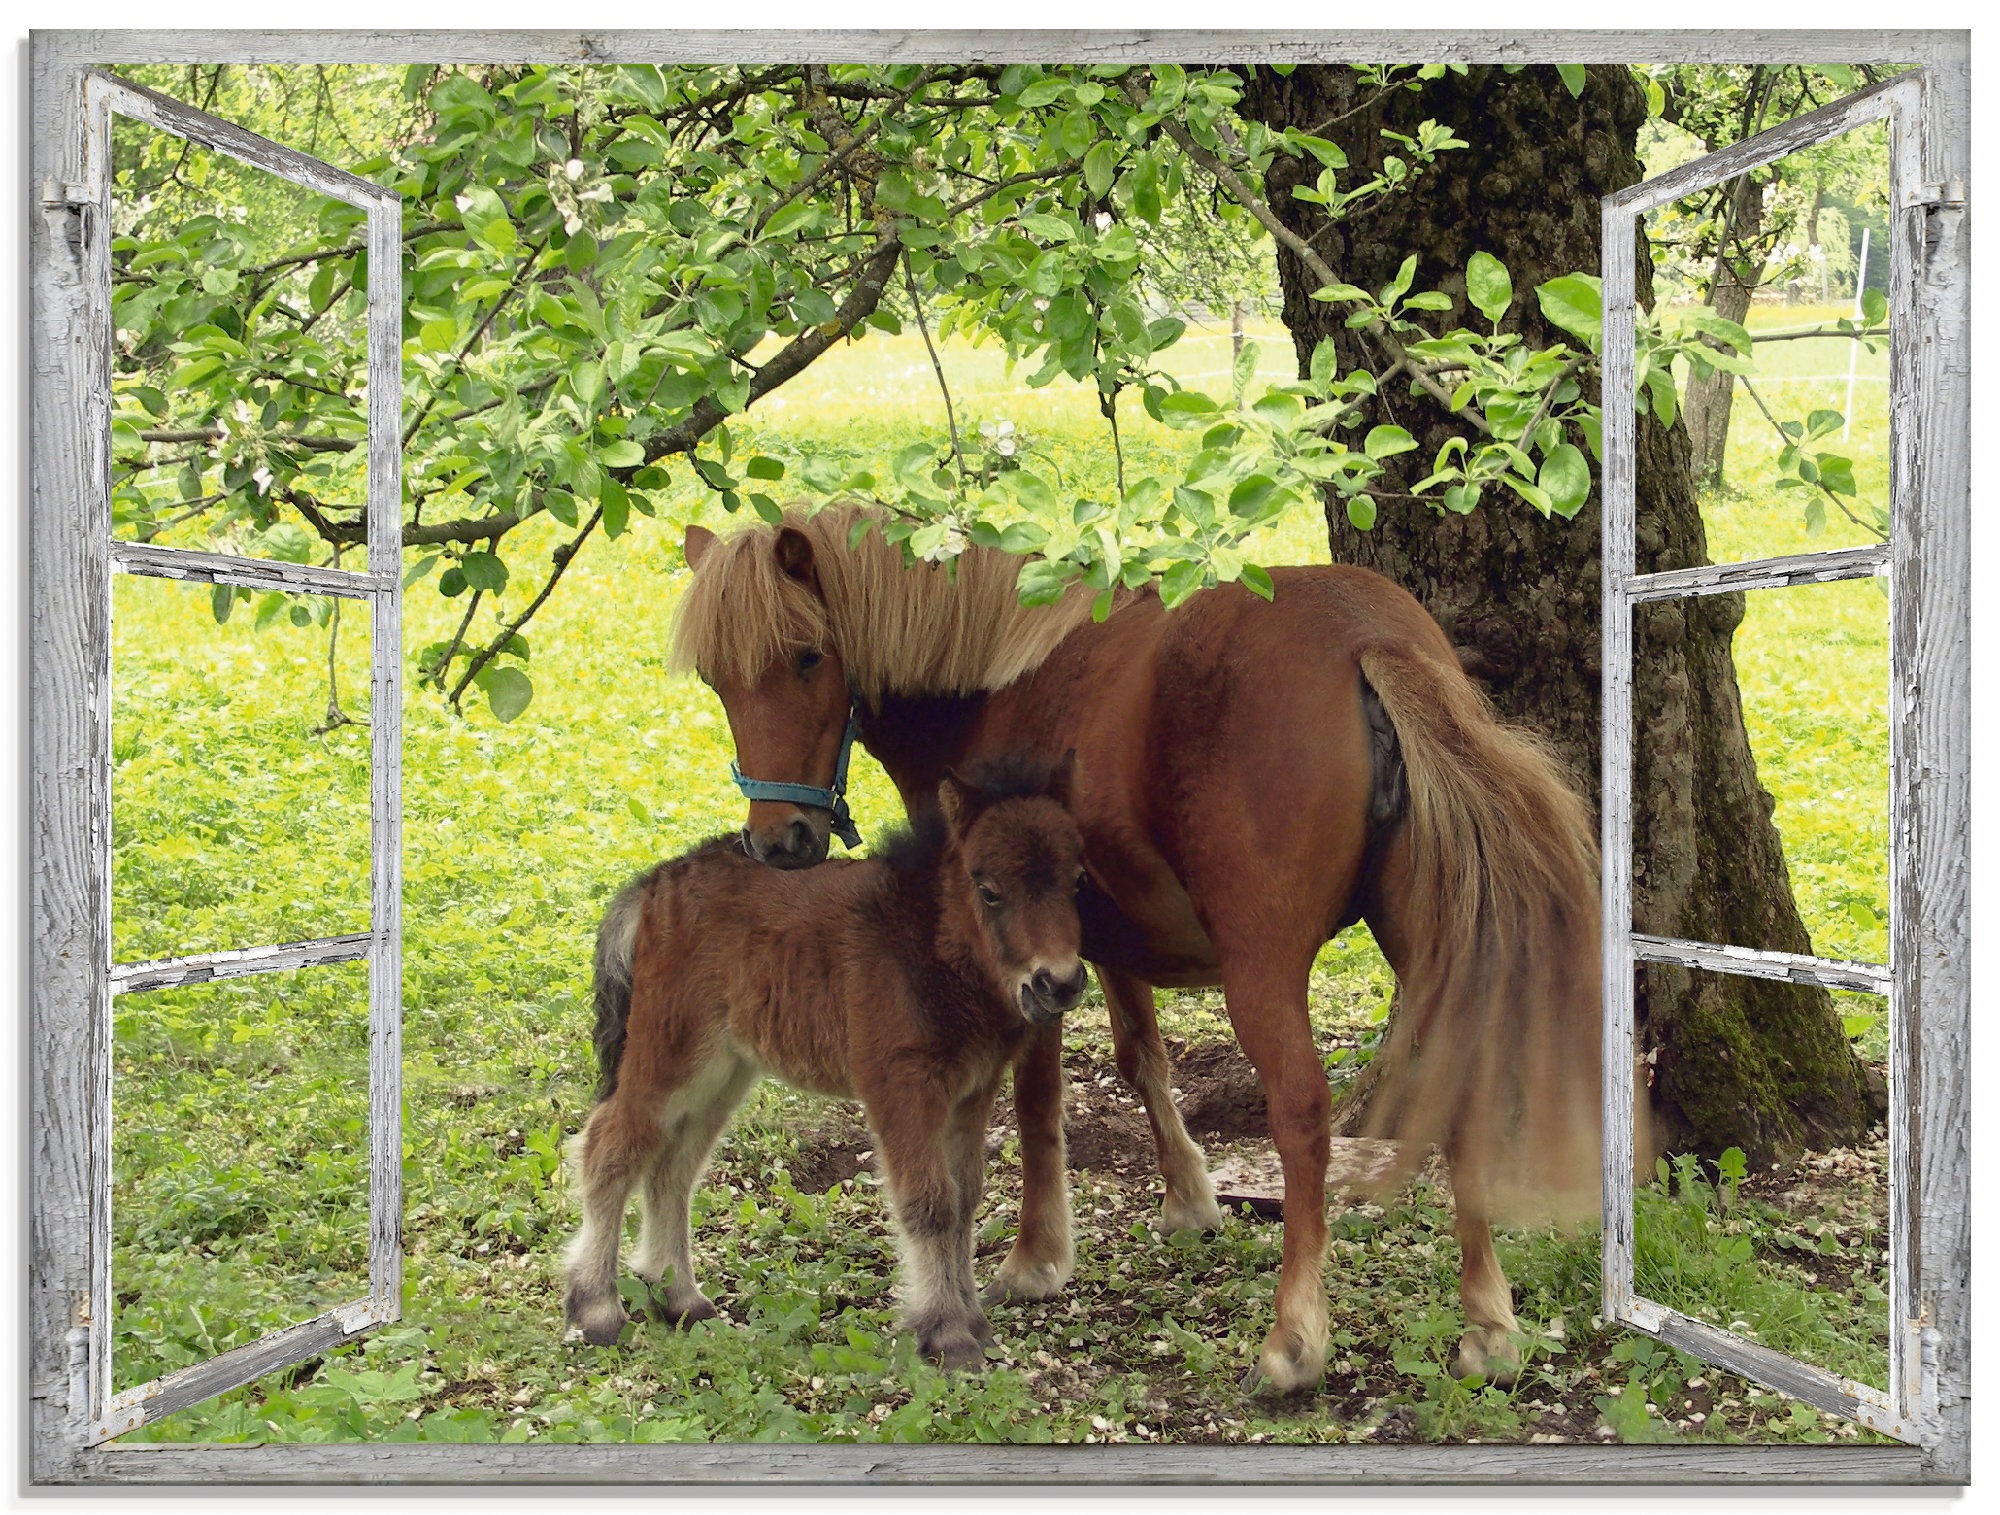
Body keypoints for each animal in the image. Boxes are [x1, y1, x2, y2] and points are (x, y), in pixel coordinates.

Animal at [562, 752, 1090, 1369]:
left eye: (1077, 882)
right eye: (988, 891)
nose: (1057, 983)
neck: (926, 940)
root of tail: (655, 883)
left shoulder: (970, 1093)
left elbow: (964, 1202)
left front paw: (973, 1325)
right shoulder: (900, 1086)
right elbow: (930, 1203)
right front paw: (946, 1335)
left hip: (723, 1072)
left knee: (673, 1166)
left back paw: (681, 1299)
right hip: (669, 1056)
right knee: (611, 1147)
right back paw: (596, 1309)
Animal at [670, 502, 1602, 1393]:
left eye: (806, 657)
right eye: (716, 678)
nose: (779, 841)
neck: (992, 681)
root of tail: (1367, 635)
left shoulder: (1026, 962)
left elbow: (1039, 1098)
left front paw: (1035, 1255)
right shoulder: (1106, 942)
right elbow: (1139, 1056)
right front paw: (1189, 1195)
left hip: (1262, 968)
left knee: (1301, 1114)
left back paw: (1294, 1339)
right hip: (1428, 938)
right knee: (1460, 1081)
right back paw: (1489, 1326)